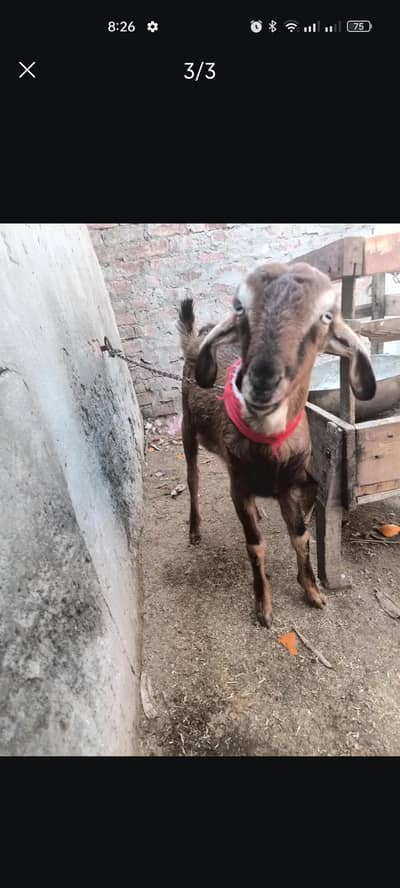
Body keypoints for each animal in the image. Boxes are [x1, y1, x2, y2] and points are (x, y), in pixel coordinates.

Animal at [178, 262, 376, 627]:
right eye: (239, 307)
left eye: (326, 315)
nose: (262, 381)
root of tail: (198, 337)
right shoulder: (241, 486)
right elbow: (255, 544)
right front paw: (264, 607)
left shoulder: (290, 486)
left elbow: (301, 535)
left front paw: (312, 592)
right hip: (187, 426)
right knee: (193, 477)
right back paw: (195, 530)